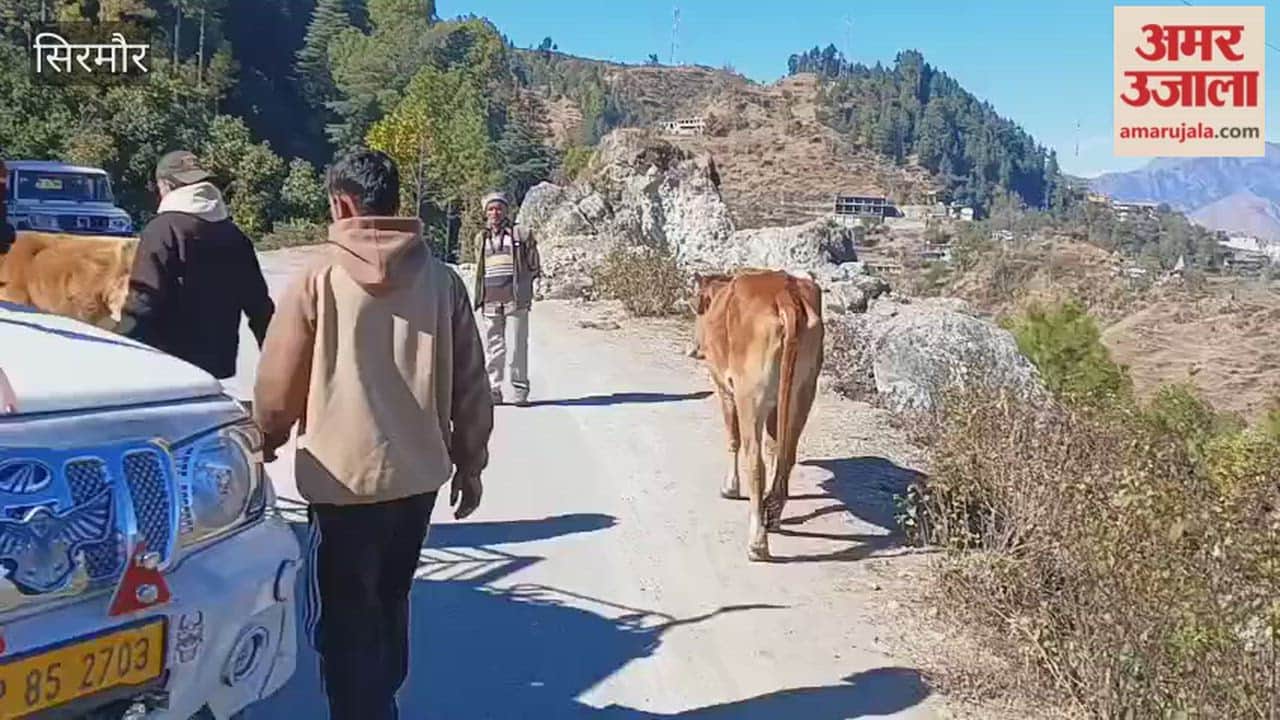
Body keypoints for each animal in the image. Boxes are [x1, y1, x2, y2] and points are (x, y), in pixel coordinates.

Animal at [691, 269, 824, 562]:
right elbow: (775, 448)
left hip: (749, 396)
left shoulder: (724, 389)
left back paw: (757, 541)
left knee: (755, 462)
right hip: (804, 391)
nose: (694, 349)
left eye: (698, 305)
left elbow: (733, 439)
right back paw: (773, 513)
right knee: (787, 454)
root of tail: (785, 292)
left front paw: (730, 487)